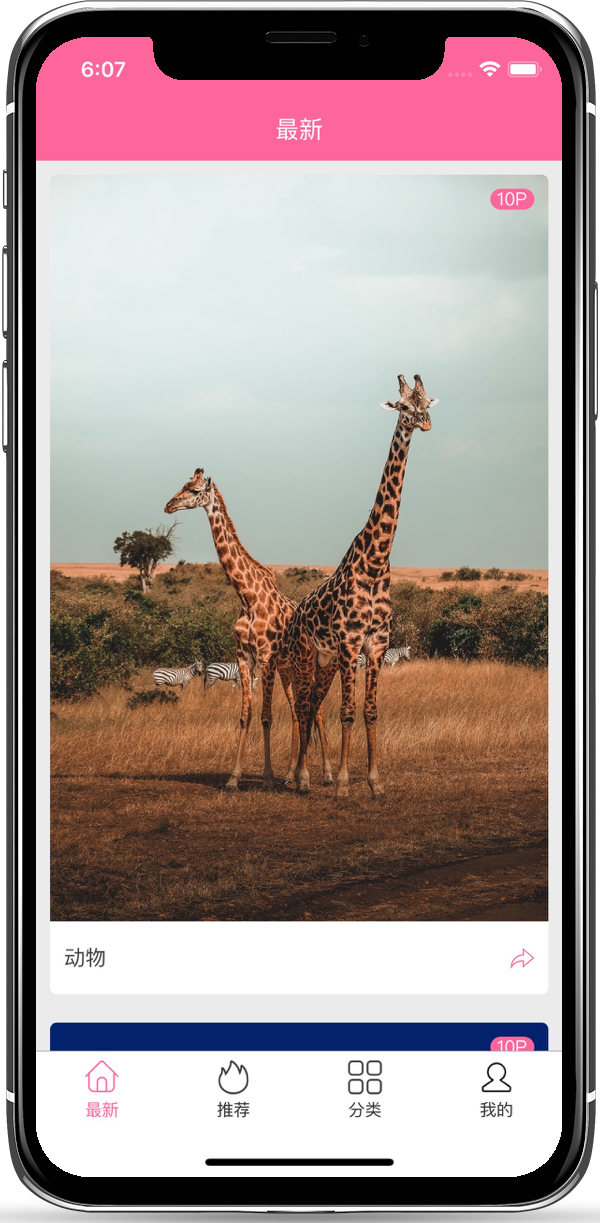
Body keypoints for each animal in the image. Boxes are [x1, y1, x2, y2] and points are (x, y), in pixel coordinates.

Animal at [164, 469, 333, 792]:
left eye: (194, 490)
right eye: (182, 485)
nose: (168, 506)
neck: (247, 597)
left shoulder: (265, 658)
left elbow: (266, 717)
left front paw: (265, 778)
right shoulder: (245, 658)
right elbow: (246, 716)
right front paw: (233, 778)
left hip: (309, 665)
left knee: (315, 710)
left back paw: (327, 775)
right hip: (288, 670)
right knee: (297, 711)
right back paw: (290, 775)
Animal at [287, 374, 438, 799]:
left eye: (427, 404)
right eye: (403, 406)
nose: (424, 424)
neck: (375, 562)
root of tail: (296, 613)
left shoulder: (376, 644)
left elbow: (370, 712)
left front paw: (374, 782)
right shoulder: (350, 643)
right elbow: (348, 712)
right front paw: (341, 784)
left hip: (324, 661)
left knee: (313, 704)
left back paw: (307, 776)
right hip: (306, 654)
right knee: (303, 706)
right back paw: (299, 778)